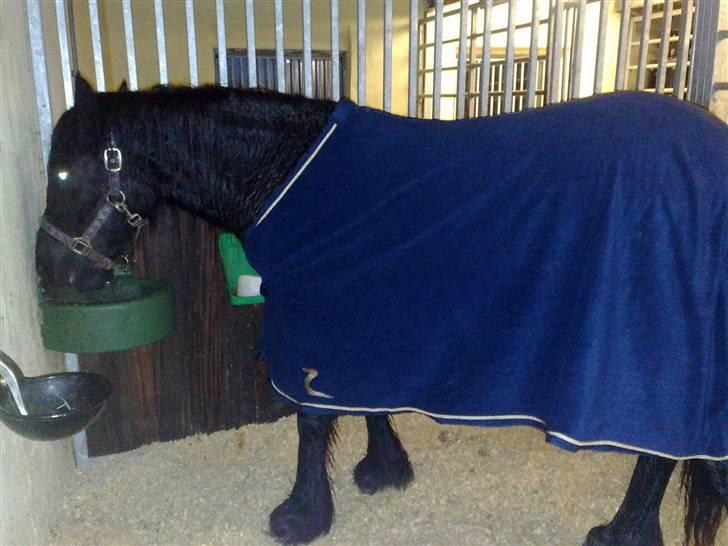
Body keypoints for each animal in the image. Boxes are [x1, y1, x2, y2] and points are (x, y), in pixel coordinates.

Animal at [35, 74, 726, 546]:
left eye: (65, 174)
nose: (52, 273)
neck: (287, 176)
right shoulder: (363, 312)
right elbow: (363, 402)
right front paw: (383, 471)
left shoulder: (314, 320)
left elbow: (312, 422)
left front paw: (300, 517)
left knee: (657, 447)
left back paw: (623, 534)